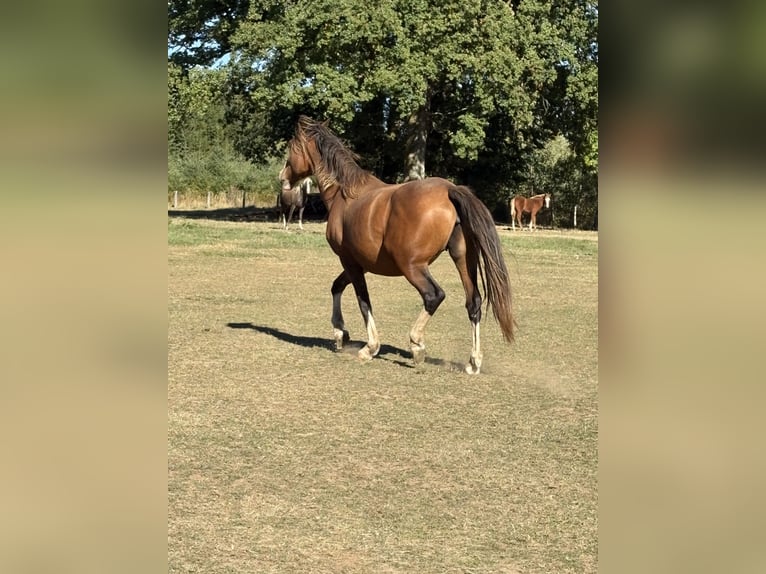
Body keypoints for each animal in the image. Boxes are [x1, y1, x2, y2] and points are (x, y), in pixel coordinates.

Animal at [278, 116, 514, 374]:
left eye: (292, 148)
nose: (282, 178)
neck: (344, 194)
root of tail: (450, 190)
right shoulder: (358, 264)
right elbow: (337, 287)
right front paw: (340, 333)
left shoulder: (350, 262)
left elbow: (363, 301)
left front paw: (369, 347)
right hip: (463, 259)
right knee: (474, 302)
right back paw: (473, 361)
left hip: (412, 266)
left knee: (434, 296)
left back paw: (417, 345)